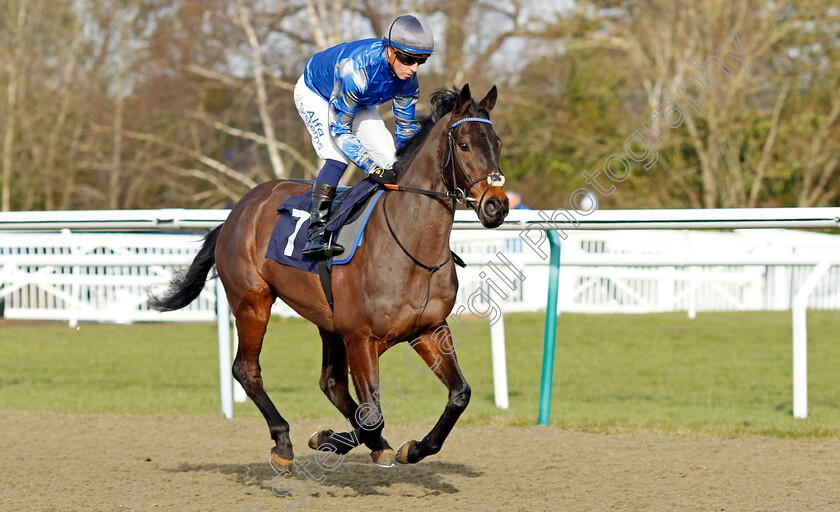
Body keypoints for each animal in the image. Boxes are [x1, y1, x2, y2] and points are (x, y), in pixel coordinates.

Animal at [148, 85, 508, 472]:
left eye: (497, 142)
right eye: (465, 144)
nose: (497, 205)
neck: (412, 249)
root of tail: (238, 210)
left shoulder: (427, 329)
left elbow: (458, 395)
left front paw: (409, 448)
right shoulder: (360, 337)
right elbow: (372, 416)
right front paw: (333, 440)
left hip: (327, 321)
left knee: (331, 383)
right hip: (252, 301)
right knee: (246, 369)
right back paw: (283, 442)